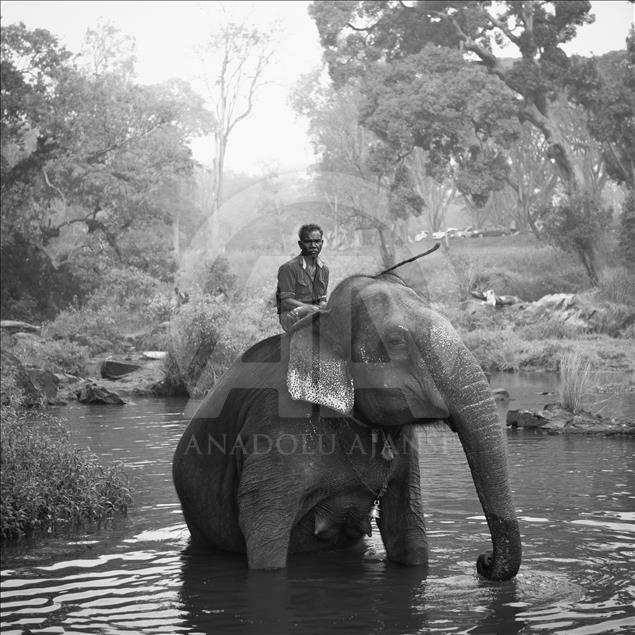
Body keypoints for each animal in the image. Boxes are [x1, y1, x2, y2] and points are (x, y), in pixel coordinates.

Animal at [173, 274, 520, 580]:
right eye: (396, 341)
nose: (483, 561)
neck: (321, 323)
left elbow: (407, 527)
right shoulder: (274, 429)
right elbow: (265, 537)